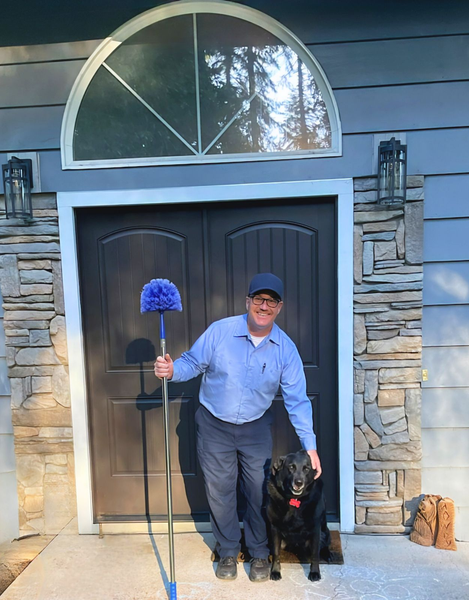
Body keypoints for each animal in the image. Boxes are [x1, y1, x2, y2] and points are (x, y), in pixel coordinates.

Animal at [266, 450, 332, 580]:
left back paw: (328, 554)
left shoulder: (315, 529)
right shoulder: (274, 528)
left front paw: (315, 572)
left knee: (325, 544)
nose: (299, 483)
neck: (295, 499)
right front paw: (275, 571)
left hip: (324, 532)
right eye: (291, 467)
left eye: (306, 469)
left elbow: (315, 554)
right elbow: (276, 553)